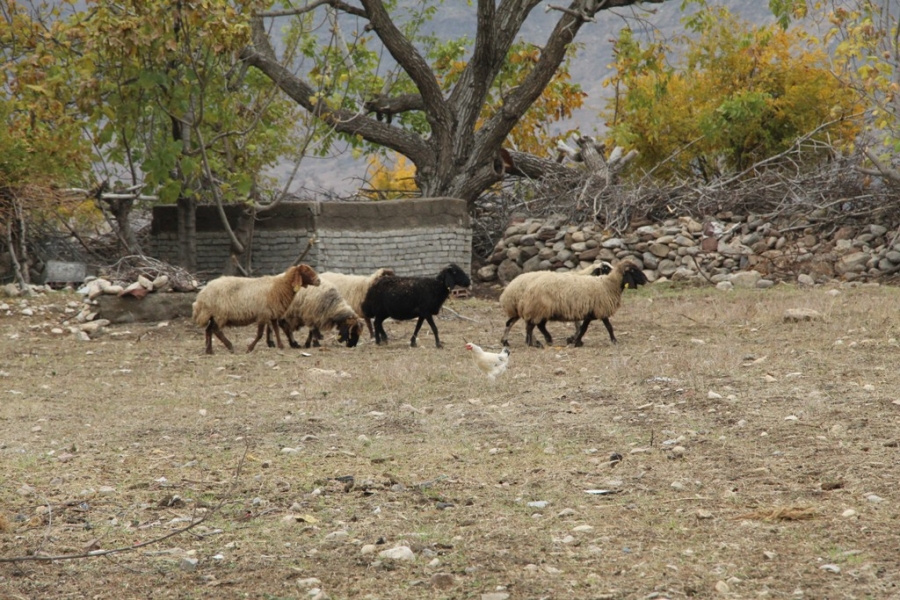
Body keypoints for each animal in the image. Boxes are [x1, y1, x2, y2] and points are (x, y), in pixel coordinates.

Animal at [190, 264, 320, 354]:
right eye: (306, 271)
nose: (319, 281)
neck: (280, 286)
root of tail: (202, 294)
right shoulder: (263, 314)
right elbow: (260, 334)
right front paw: (250, 348)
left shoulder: (272, 314)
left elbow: (276, 330)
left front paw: (280, 346)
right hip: (220, 313)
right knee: (216, 330)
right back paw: (230, 346)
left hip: (213, 314)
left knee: (208, 330)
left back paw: (209, 351)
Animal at [512, 260, 648, 350]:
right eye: (633, 270)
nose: (646, 280)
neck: (608, 285)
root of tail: (530, 288)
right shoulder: (601, 309)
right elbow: (608, 327)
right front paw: (614, 341)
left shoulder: (590, 313)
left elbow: (583, 328)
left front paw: (576, 341)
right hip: (539, 309)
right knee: (530, 326)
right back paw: (531, 343)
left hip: (542, 311)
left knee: (539, 326)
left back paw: (547, 340)